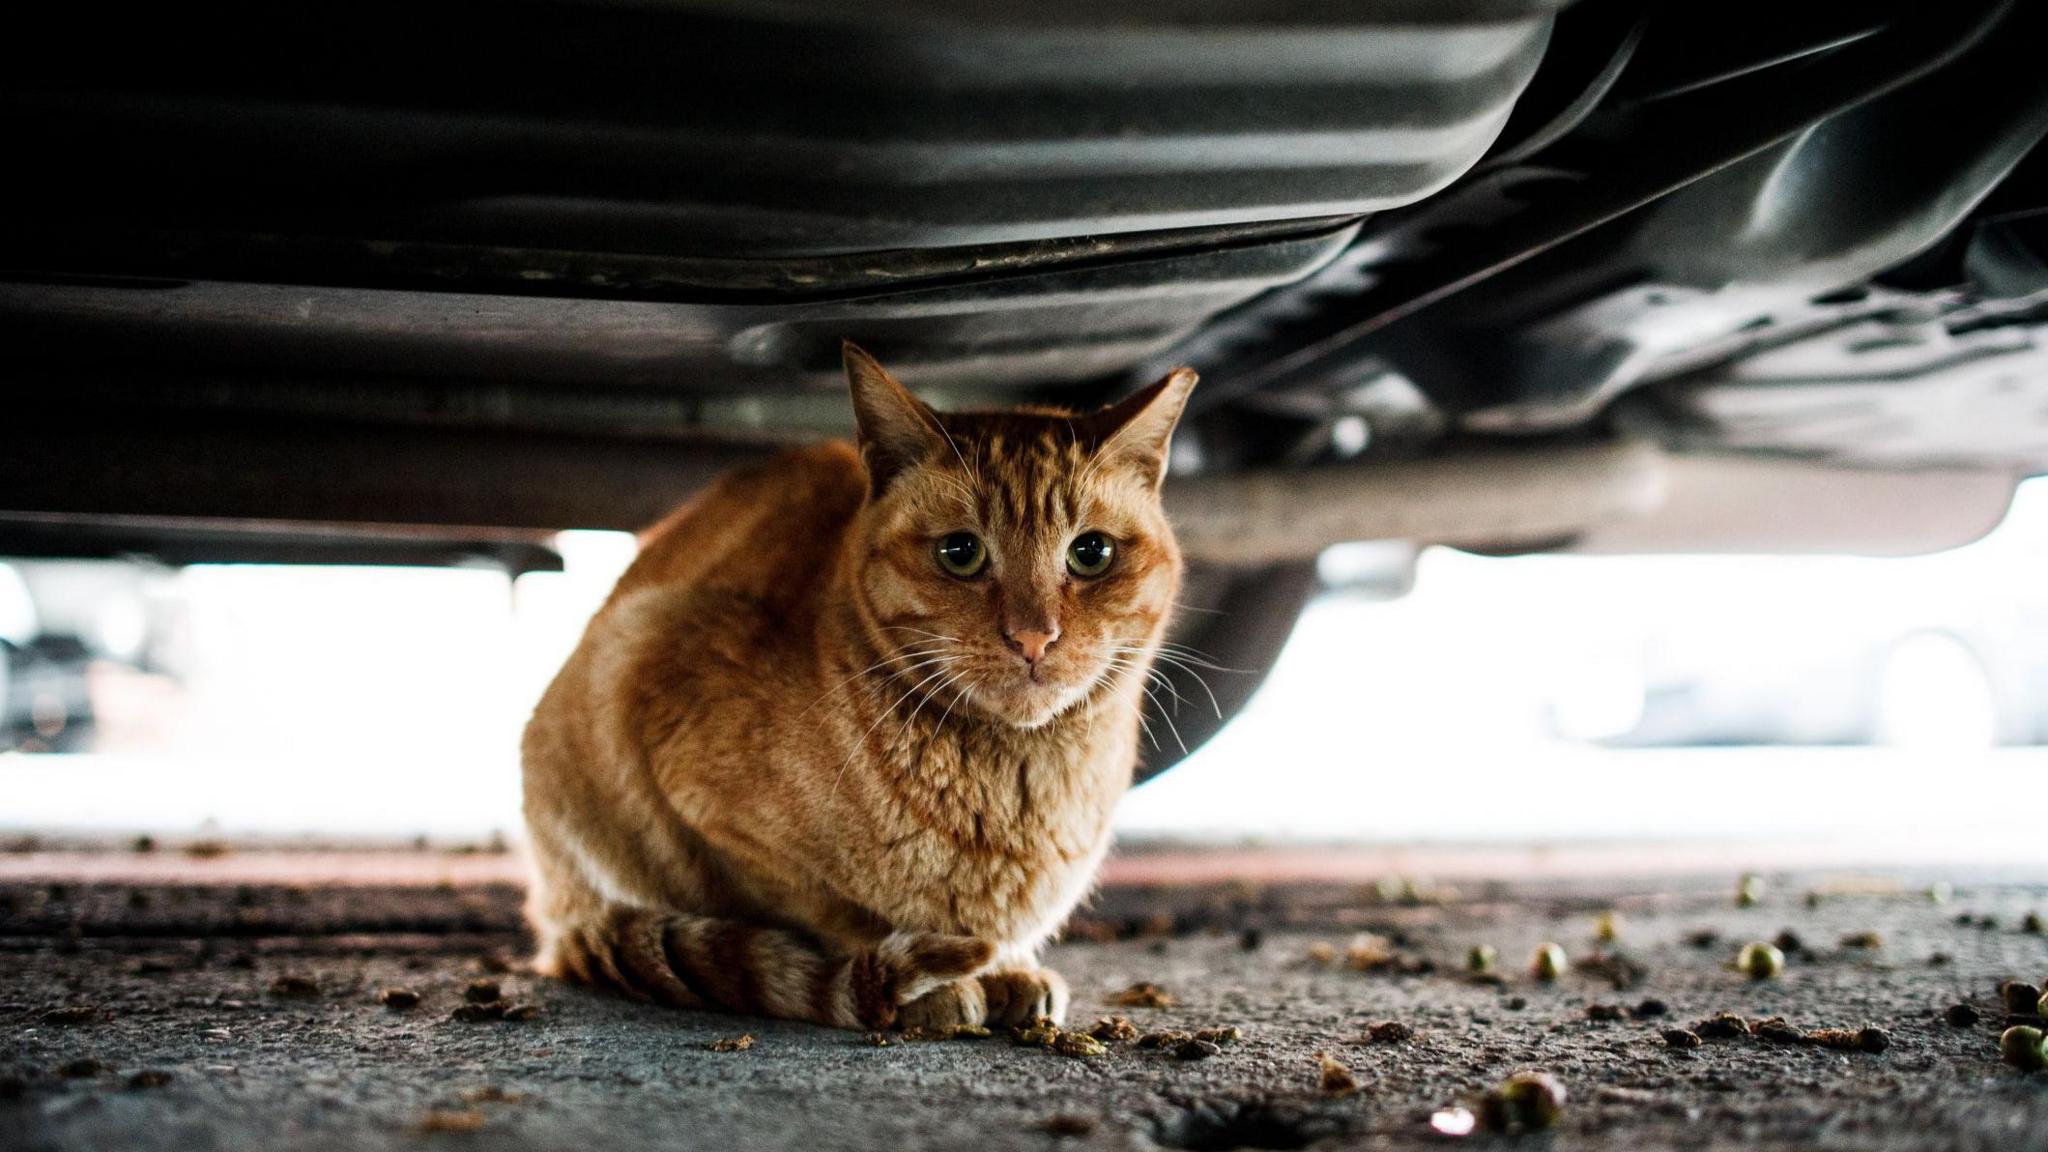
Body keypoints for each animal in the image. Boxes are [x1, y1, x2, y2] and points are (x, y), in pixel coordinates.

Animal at [520, 342, 1196, 1033]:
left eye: (1092, 553)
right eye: (961, 553)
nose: (1033, 637)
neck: (1017, 785)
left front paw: (1008, 969)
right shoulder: (680, 737)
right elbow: (839, 918)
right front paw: (935, 983)